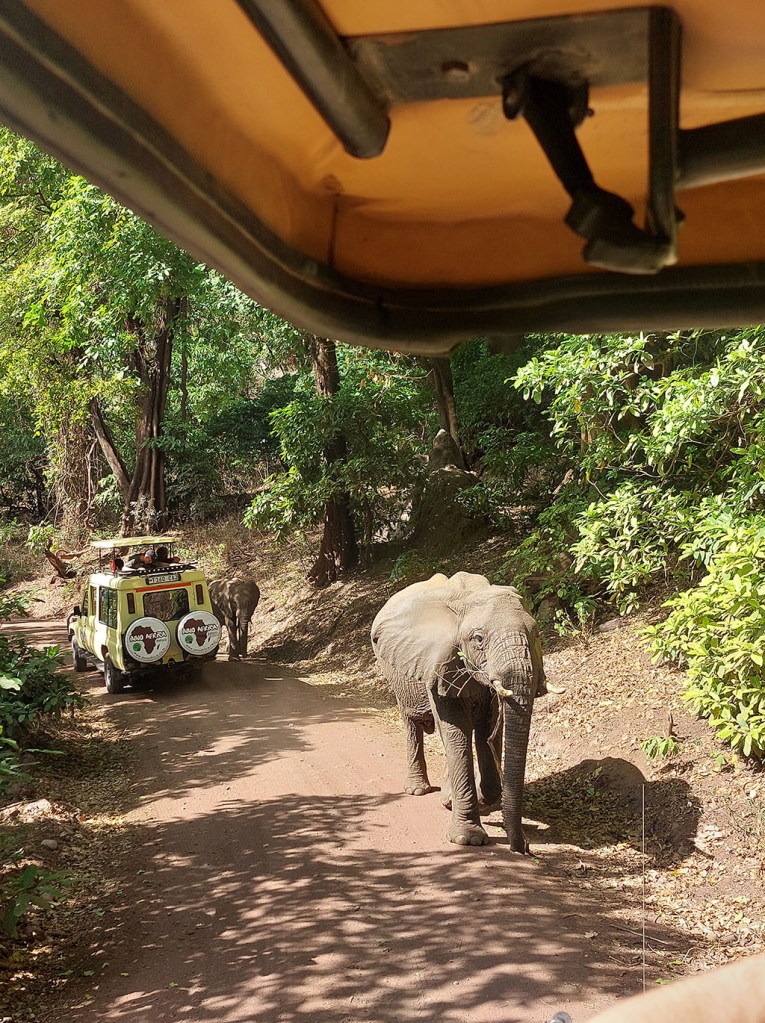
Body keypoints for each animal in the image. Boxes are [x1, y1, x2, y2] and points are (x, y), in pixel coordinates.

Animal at [371, 571, 546, 852]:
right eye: (478, 639)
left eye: (536, 633)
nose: (525, 846)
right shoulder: (438, 660)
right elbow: (456, 731)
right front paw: (468, 839)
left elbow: (487, 727)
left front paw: (484, 799)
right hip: (393, 670)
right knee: (412, 722)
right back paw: (418, 790)